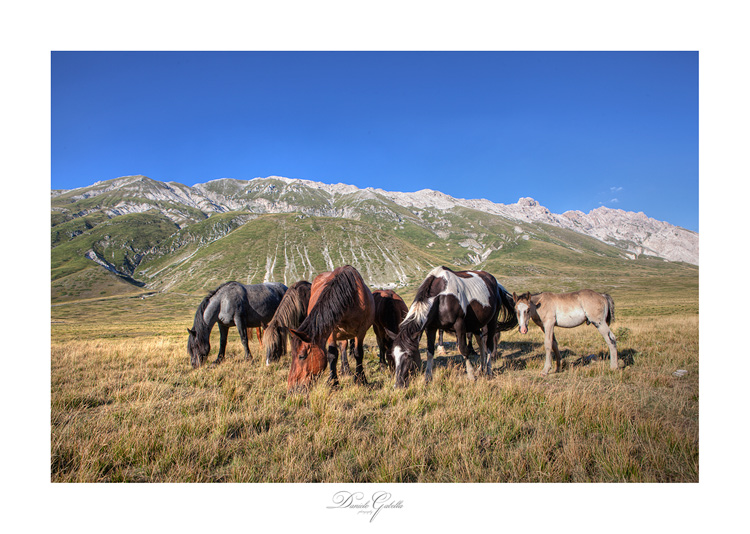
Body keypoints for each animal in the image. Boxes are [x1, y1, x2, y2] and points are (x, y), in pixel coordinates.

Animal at [389, 266, 517, 387]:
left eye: (409, 356)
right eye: (394, 357)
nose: (398, 385)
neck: (441, 298)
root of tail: (496, 284)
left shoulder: (459, 325)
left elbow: (463, 349)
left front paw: (471, 376)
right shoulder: (430, 327)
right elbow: (430, 352)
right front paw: (427, 378)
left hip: (492, 321)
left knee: (489, 343)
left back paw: (488, 370)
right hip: (475, 323)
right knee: (480, 341)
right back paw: (481, 368)